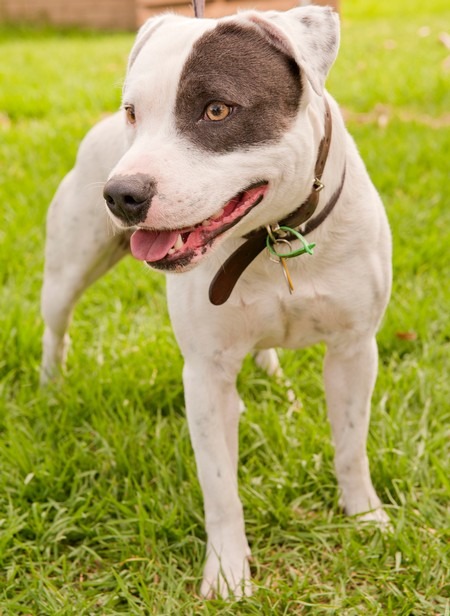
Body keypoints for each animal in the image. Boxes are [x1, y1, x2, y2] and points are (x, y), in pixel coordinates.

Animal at [40, 6, 392, 599]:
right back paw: (50, 385)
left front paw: (365, 518)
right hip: (67, 269)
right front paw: (228, 574)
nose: (121, 194)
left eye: (217, 109)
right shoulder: (205, 373)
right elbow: (220, 486)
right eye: (133, 112)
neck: (273, 239)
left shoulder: (353, 348)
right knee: (56, 326)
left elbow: (350, 443)